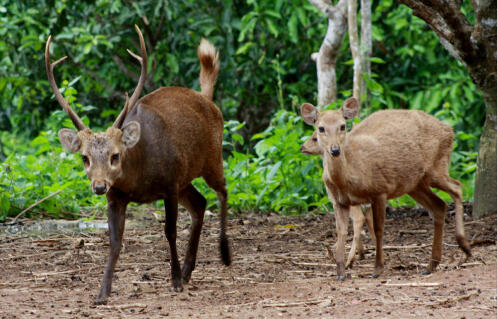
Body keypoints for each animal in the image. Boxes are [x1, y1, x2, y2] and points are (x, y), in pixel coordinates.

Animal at [45, 26, 232, 304]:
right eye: (85, 157)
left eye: (115, 155)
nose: (99, 186)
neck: (138, 179)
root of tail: (207, 99)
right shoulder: (117, 196)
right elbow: (114, 241)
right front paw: (102, 293)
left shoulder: (169, 184)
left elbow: (169, 231)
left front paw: (174, 281)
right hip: (185, 178)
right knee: (200, 203)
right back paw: (189, 270)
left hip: (212, 158)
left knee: (222, 191)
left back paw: (224, 255)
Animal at [300, 131, 374, 268]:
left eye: (315, 138)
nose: (302, 147)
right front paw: (361, 253)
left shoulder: (335, 201)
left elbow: (338, 225)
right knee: (369, 219)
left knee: (359, 218)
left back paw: (349, 260)